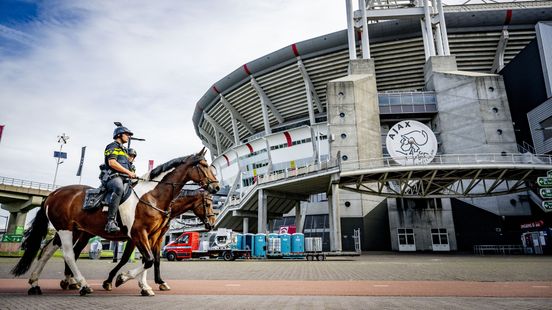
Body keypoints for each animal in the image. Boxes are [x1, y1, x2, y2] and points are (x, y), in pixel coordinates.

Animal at [59, 188, 216, 292]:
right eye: (208, 204)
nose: (212, 223)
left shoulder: (156, 237)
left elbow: (154, 259)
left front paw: (158, 282)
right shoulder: (136, 237)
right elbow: (126, 258)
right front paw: (111, 280)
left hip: (84, 234)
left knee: (74, 252)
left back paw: (71, 280)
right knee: (73, 252)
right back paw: (72, 280)